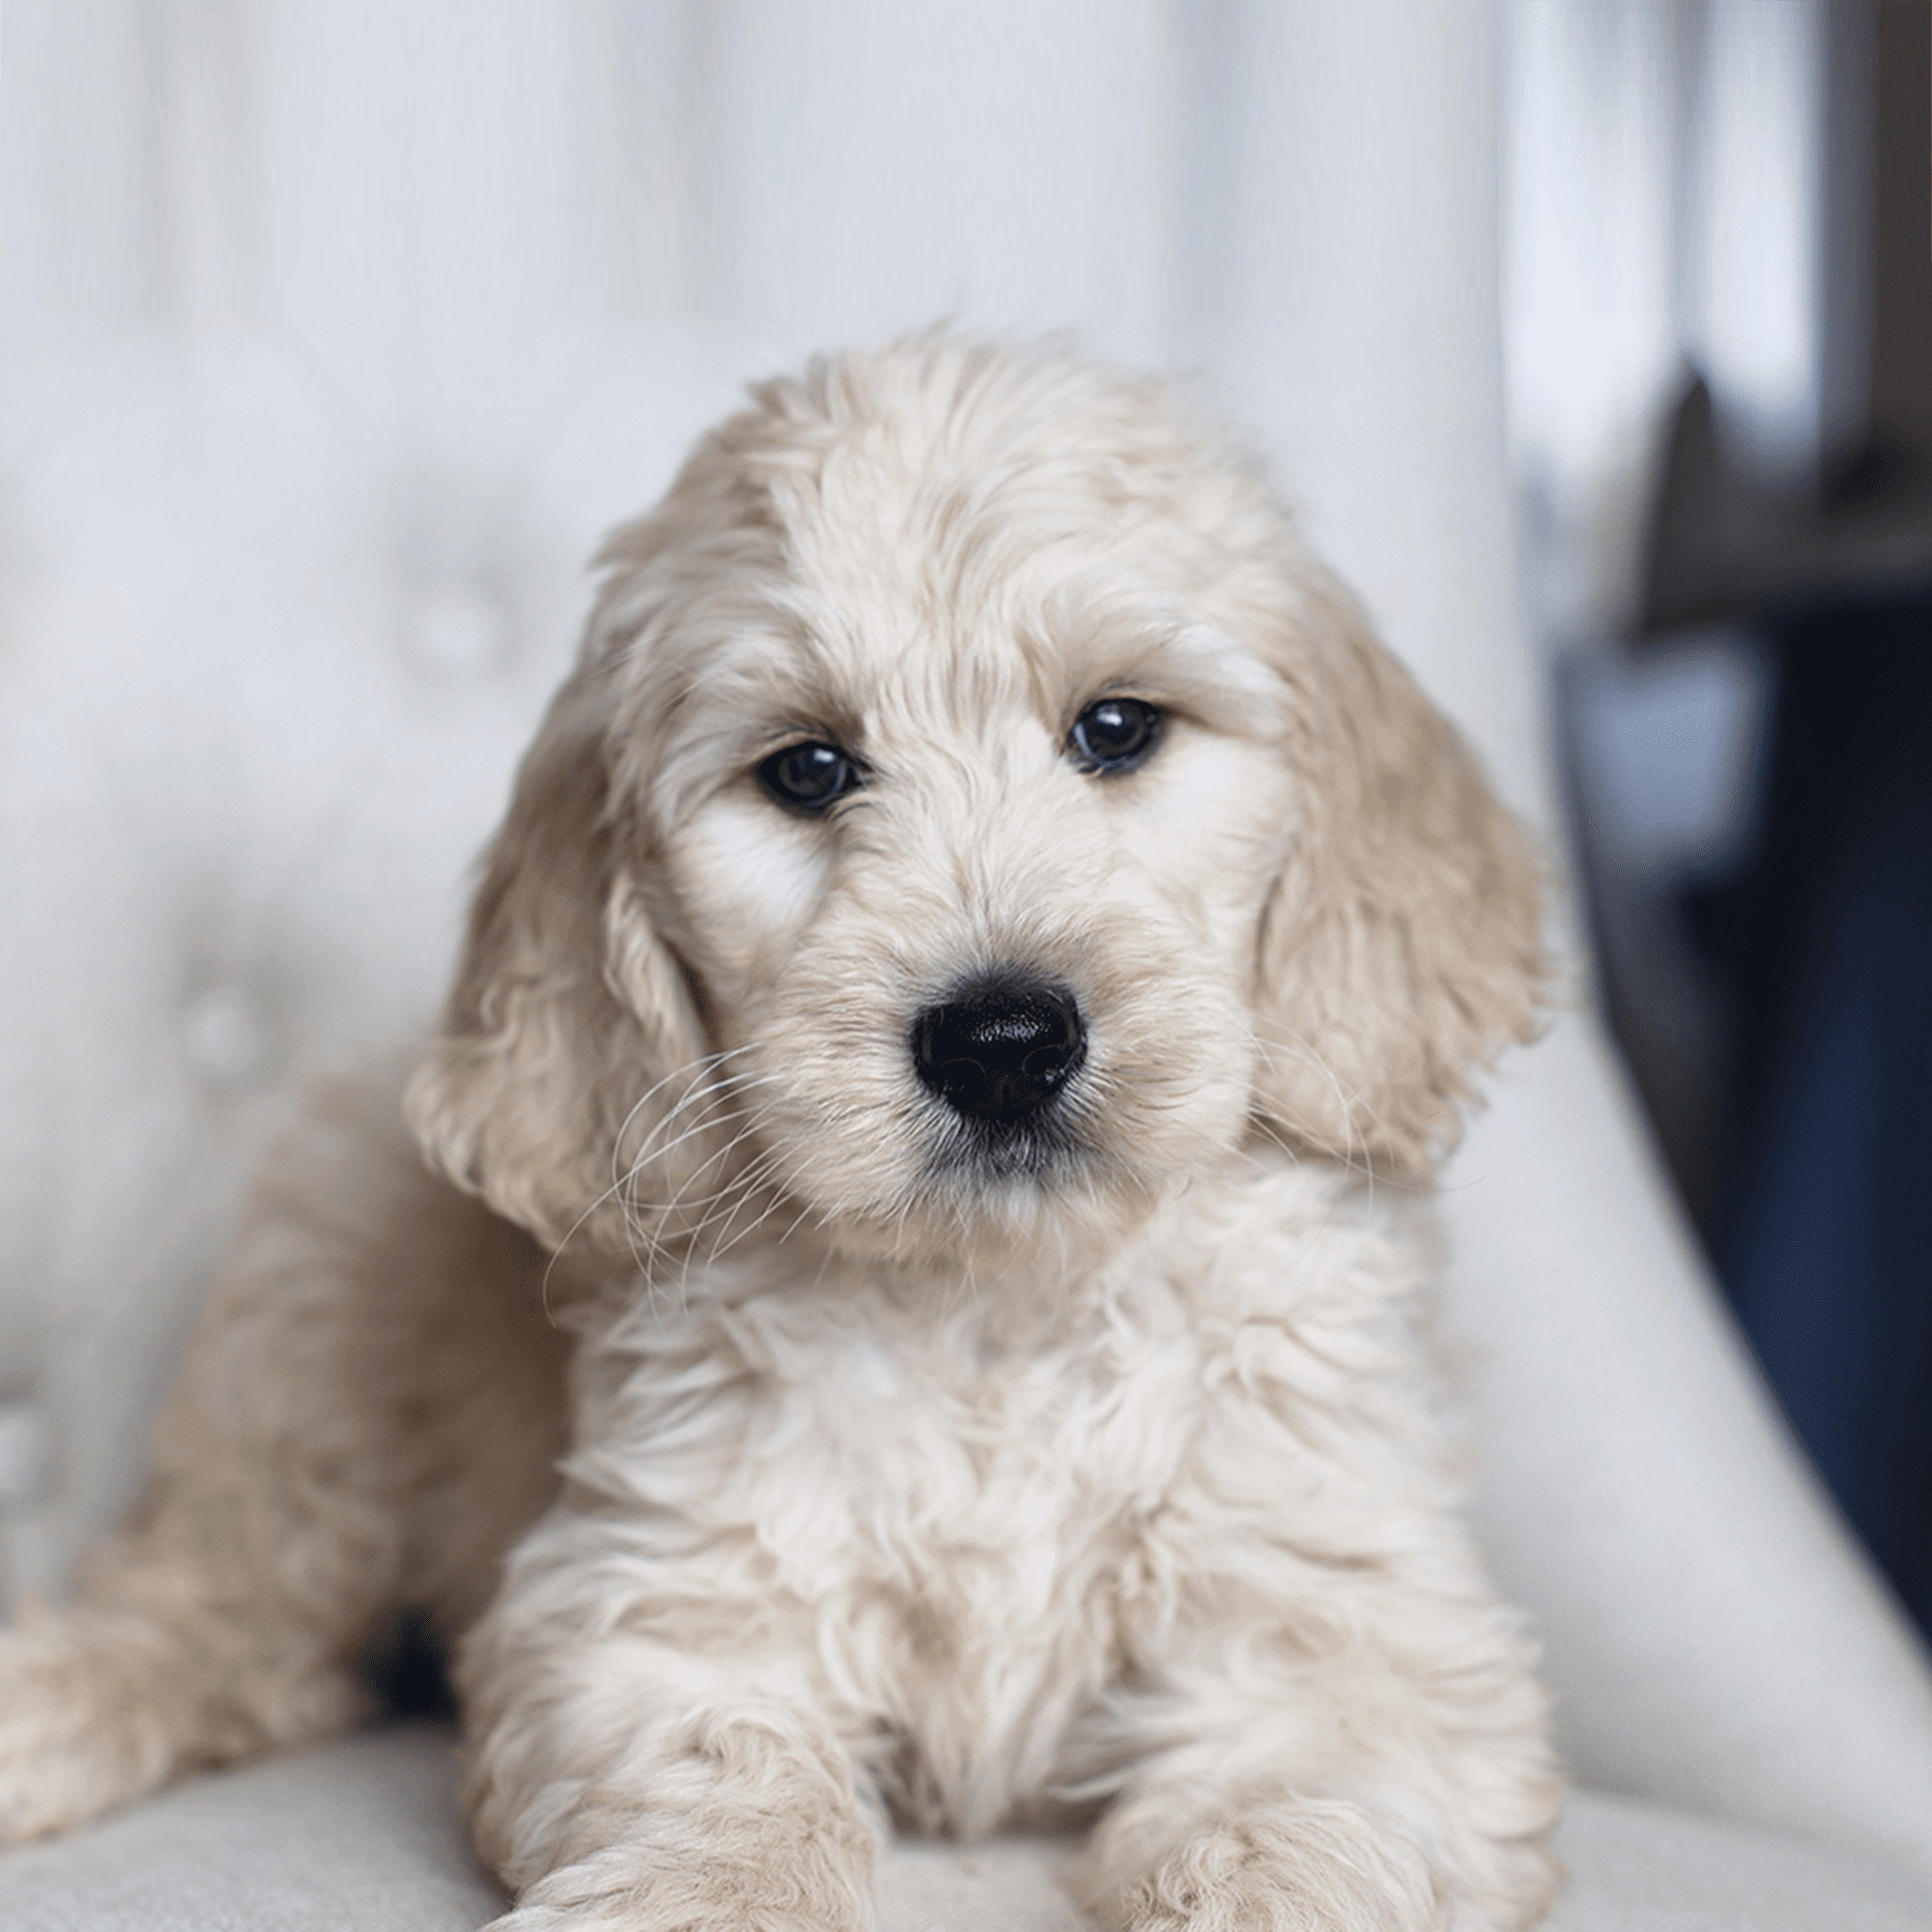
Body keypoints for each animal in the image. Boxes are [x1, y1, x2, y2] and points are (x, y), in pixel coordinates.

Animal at [0, 340, 1569, 1924]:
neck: (997, 1308)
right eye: (808, 770)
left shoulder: (1339, 1626)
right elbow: (730, 1776)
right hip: (306, 1361)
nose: (1001, 1044)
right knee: (212, 1615)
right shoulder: (660, 1592)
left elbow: (1302, 1820)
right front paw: (708, 1889)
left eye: (1117, 728)